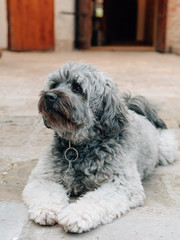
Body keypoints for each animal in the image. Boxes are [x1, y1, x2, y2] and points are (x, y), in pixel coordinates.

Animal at [22, 61, 176, 232]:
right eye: (54, 84)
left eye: (77, 88)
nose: (49, 96)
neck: (80, 146)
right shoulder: (44, 177)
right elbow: (47, 192)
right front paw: (45, 211)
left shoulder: (122, 185)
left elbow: (96, 200)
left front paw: (75, 215)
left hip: (165, 149)